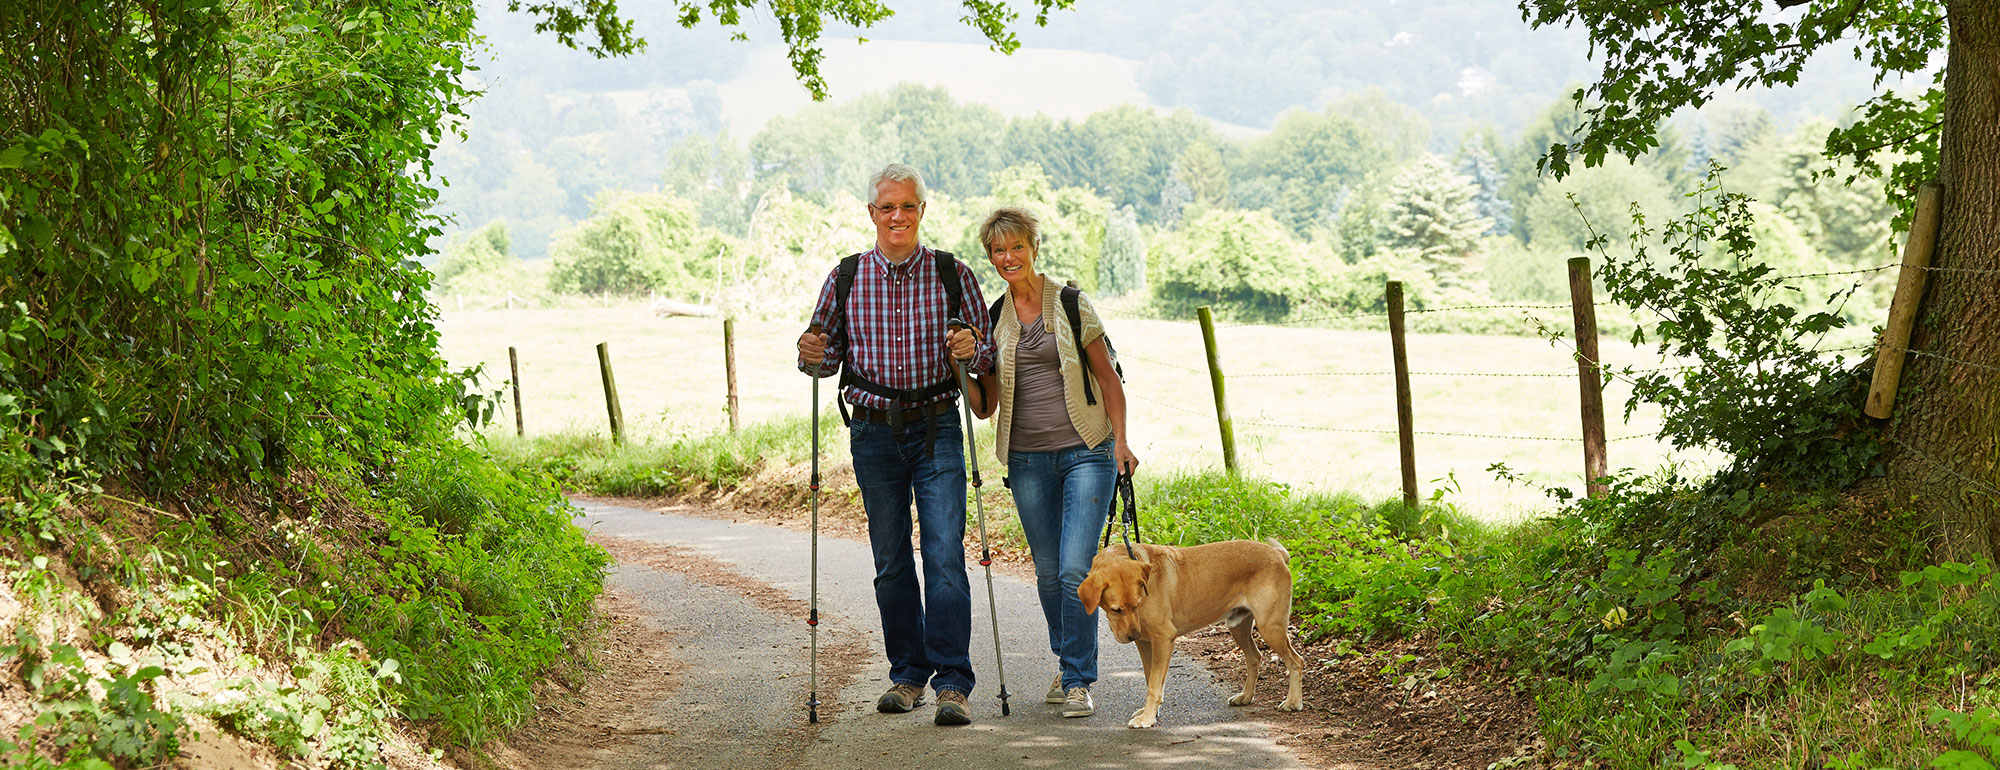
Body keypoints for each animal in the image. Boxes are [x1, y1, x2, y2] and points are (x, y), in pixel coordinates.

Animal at [1088, 536, 1304, 724]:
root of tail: (1277, 554)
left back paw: (1293, 702)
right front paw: (1150, 712)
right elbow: (1151, 679)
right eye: (1116, 609)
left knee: (1296, 661)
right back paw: (1246, 696)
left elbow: (1154, 685)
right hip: (1238, 626)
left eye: (1136, 605)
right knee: (1254, 657)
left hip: (1270, 626)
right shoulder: (1144, 643)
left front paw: (1147, 718)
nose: (1133, 634)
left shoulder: (1163, 639)